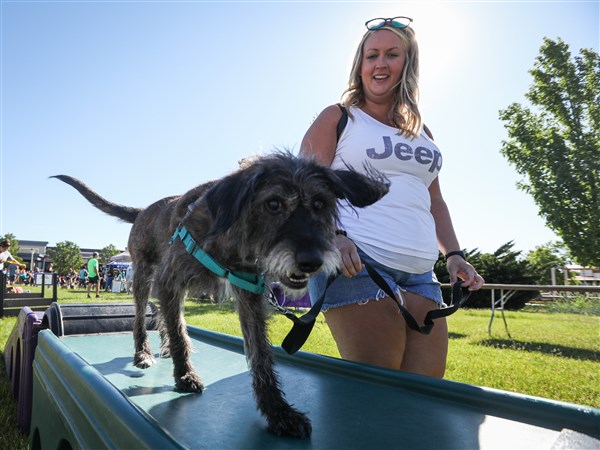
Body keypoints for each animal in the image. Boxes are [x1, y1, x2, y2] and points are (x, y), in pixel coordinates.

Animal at [52, 152, 390, 440]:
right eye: (274, 204)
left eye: (320, 203)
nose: (311, 261)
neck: (233, 237)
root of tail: (144, 210)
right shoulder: (170, 280)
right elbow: (180, 334)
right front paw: (184, 376)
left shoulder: (250, 296)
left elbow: (261, 356)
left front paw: (277, 411)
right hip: (144, 278)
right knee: (141, 318)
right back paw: (144, 353)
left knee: (162, 316)